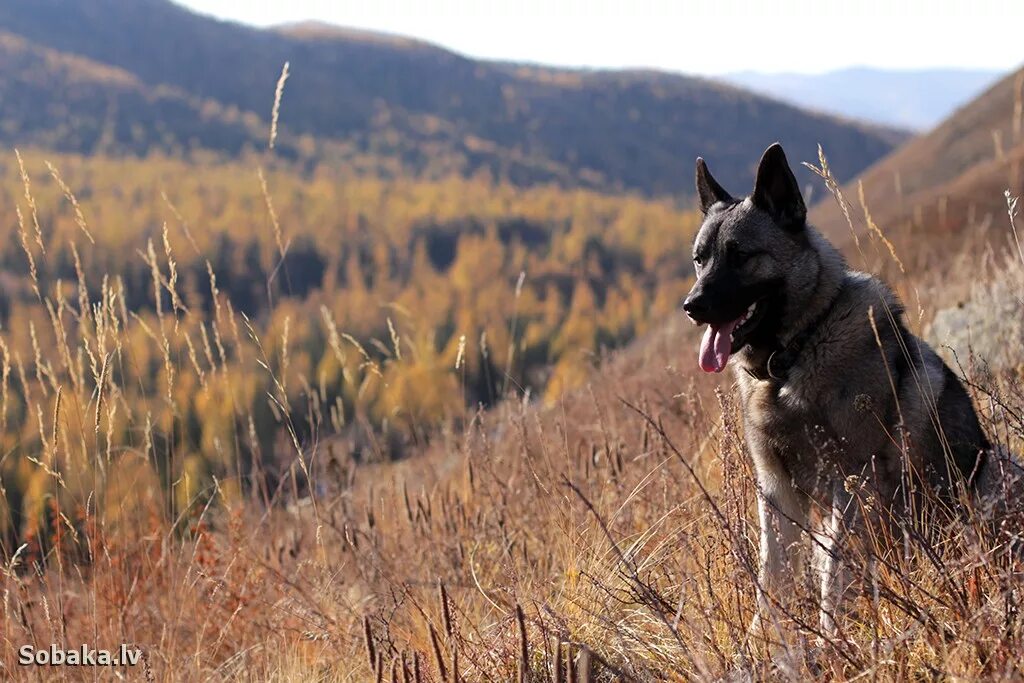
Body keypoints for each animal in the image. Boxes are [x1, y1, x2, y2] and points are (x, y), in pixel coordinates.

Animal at [679, 144, 1015, 643]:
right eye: (700, 259)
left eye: (740, 256)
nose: (692, 306)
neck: (795, 351)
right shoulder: (776, 492)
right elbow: (772, 577)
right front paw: (766, 643)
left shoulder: (851, 485)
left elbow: (835, 577)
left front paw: (831, 642)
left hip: (990, 471)